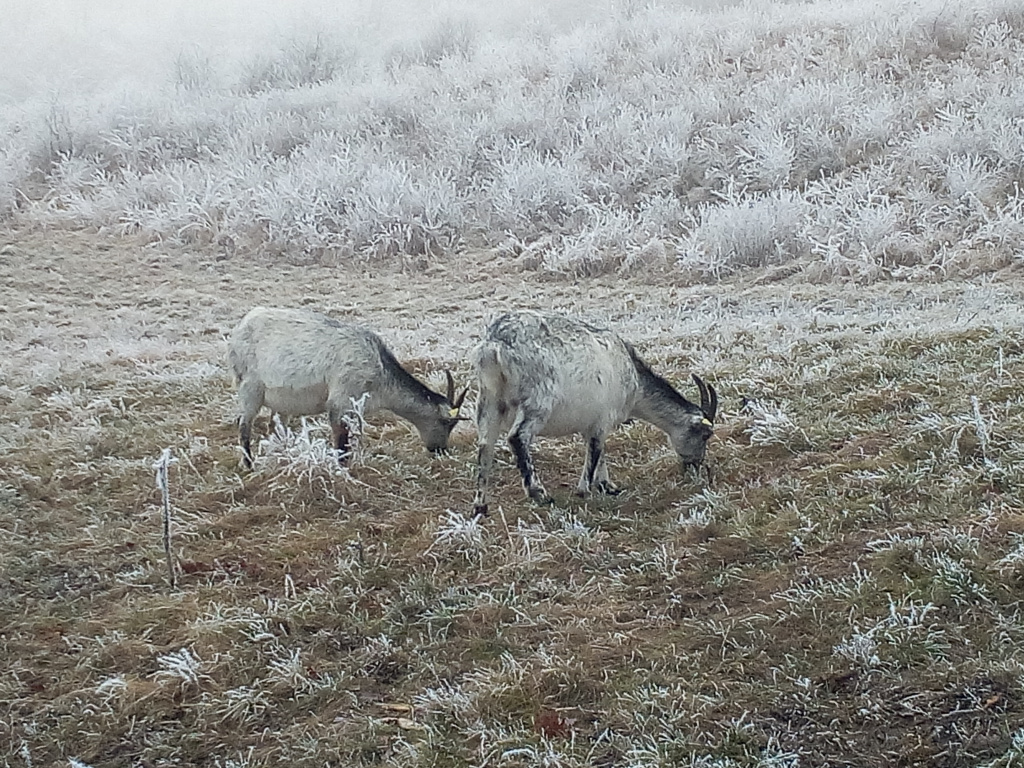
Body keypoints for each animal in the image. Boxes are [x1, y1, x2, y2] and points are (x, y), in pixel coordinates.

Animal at [228, 307, 467, 468]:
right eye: (447, 423)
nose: (440, 450)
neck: (380, 374)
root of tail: (239, 329)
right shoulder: (340, 400)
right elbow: (341, 442)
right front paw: (342, 471)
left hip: (281, 400)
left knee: (276, 426)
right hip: (250, 387)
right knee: (244, 425)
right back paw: (248, 464)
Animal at [471, 310, 717, 516]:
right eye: (705, 435)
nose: (695, 465)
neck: (634, 380)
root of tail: (494, 346)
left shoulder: (589, 423)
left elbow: (598, 450)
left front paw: (608, 486)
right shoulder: (602, 419)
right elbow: (596, 451)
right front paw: (585, 491)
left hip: (489, 402)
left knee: (485, 447)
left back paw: (480, 506)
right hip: (538, 400)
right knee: (517, 436)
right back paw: (539, 493)